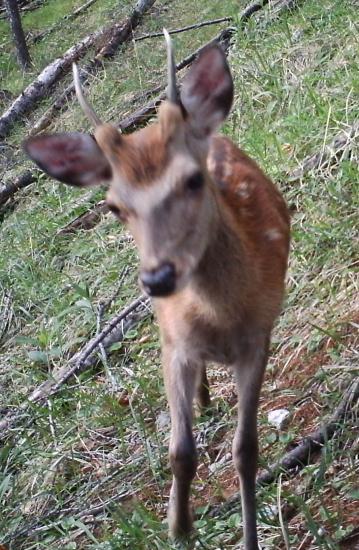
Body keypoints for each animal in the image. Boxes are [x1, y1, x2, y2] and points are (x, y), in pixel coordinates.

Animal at [23, 31, 292, 550]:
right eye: (113, 206)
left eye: (193, 179)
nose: (158, 278)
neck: (222, 318)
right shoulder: (175, 344)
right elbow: (180, 451)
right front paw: (178, 526)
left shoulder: (259, 338)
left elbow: (245, 450)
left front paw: (249, 535)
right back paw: (203, 397)